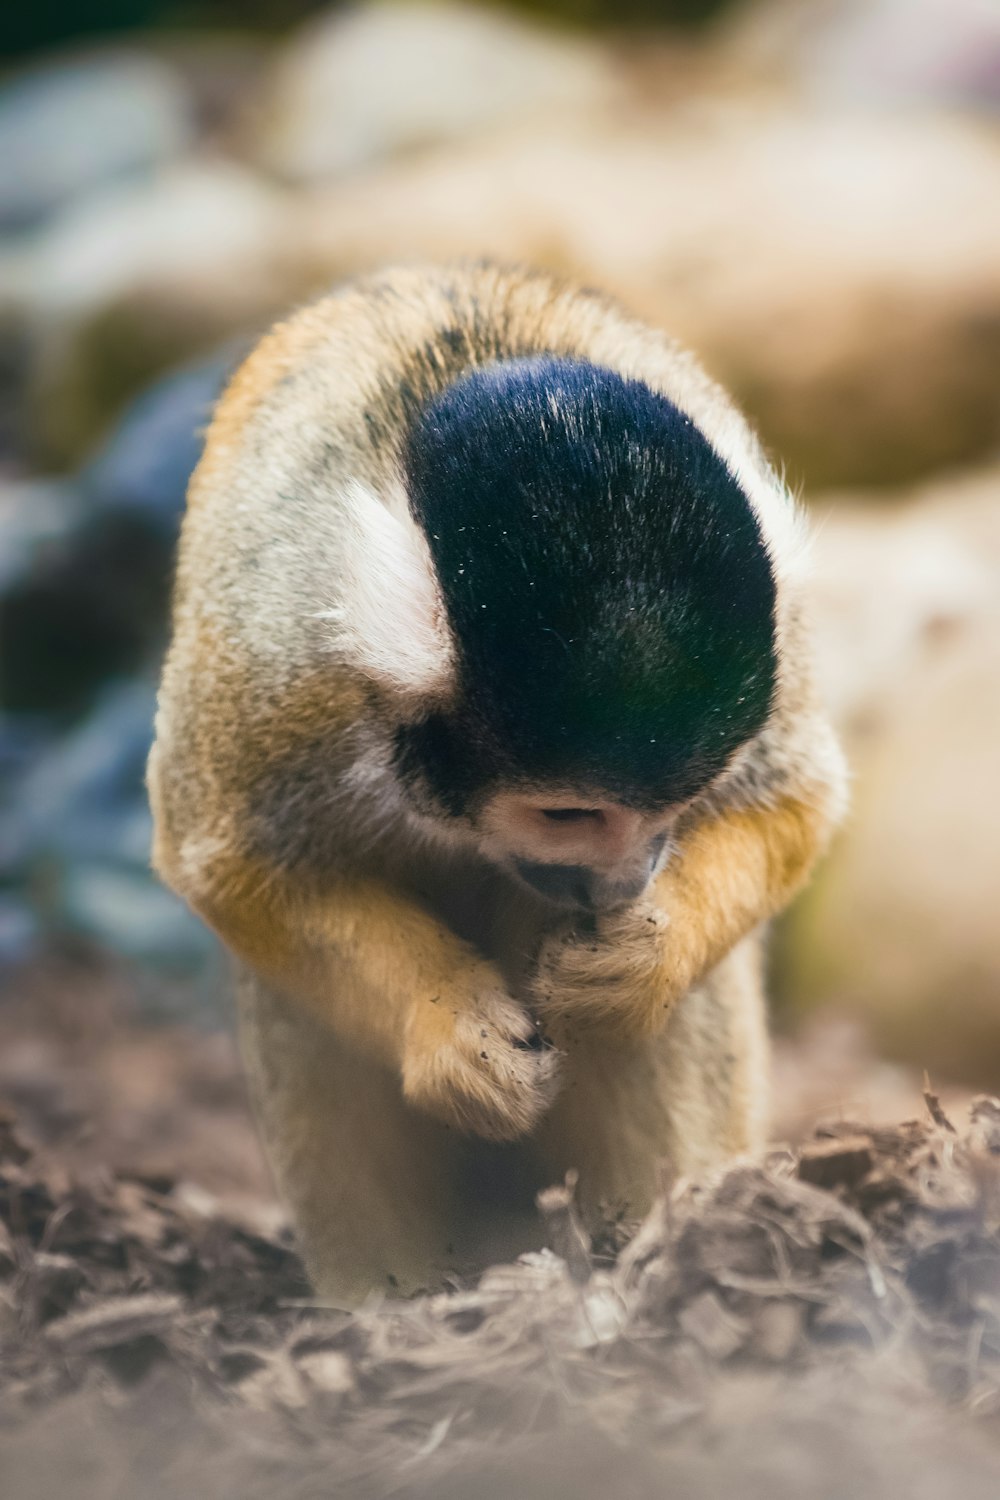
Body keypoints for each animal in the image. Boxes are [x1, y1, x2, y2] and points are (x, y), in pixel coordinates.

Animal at [150, 264, 845, 1308]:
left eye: (676, 805)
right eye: (568, 815)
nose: (627, 882)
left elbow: (796, 802)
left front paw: (645, 958)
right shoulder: (281, 659)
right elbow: (222, 860)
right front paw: (447, 1030)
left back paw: (651, 1250)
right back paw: (393, 1303)